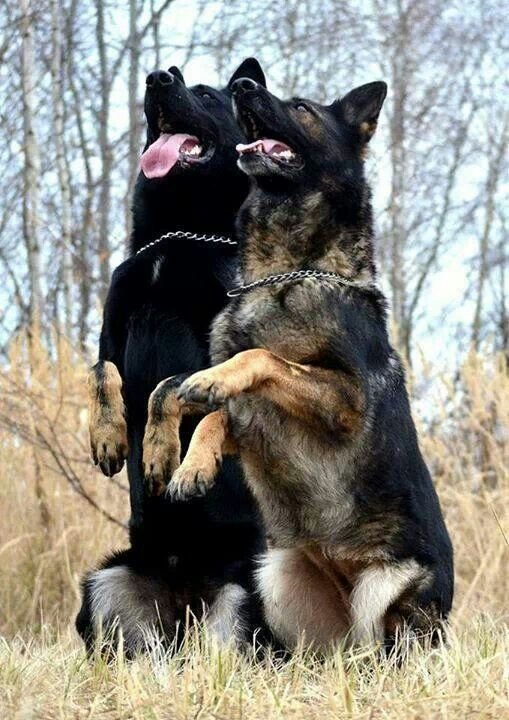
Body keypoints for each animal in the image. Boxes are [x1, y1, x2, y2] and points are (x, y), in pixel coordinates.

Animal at [75, 59, 270, 656]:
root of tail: (183, 600)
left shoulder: (225, 352)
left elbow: (169, 387)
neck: (176, 234)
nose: (157, 78)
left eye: (204, 95)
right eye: (174, 78)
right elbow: (102, 371)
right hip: (105, 586)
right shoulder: (112, 332)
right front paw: (110, 436)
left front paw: (161, 453)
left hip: (244, 597)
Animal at [142, 79, 452, 652]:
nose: (244, 86)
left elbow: (259, 356)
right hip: (276, 574)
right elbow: (179, 392)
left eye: (302, 108)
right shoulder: (251, 425)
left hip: (386, 592)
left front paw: (211, 386)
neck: (286, 273)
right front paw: (177, 458)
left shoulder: (343, 402)